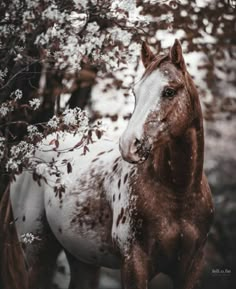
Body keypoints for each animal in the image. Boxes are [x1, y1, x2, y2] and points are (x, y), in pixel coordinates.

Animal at [10, 40, 214, 288]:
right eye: (135, 92)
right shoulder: (134, 264)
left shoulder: (192, 268)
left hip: (82, 259)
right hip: (36, 251)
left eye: (169, 91)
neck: (179, 193)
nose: (129, 144)